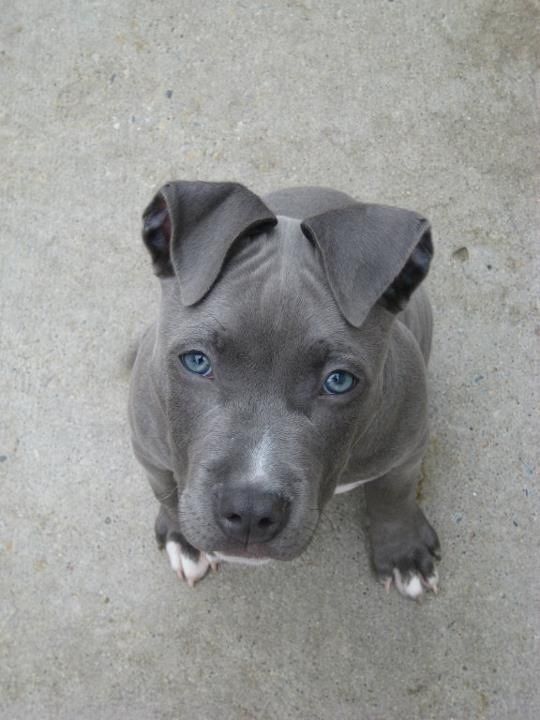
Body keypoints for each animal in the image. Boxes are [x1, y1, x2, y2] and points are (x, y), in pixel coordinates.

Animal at [129, 183, 440, 600]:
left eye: (338, 381)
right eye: (196, 361)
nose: (249, 509)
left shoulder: (408, 444)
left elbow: (395, 494)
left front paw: (404, 552)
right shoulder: (147, 446)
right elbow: (164, 489)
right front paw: (185, 541)